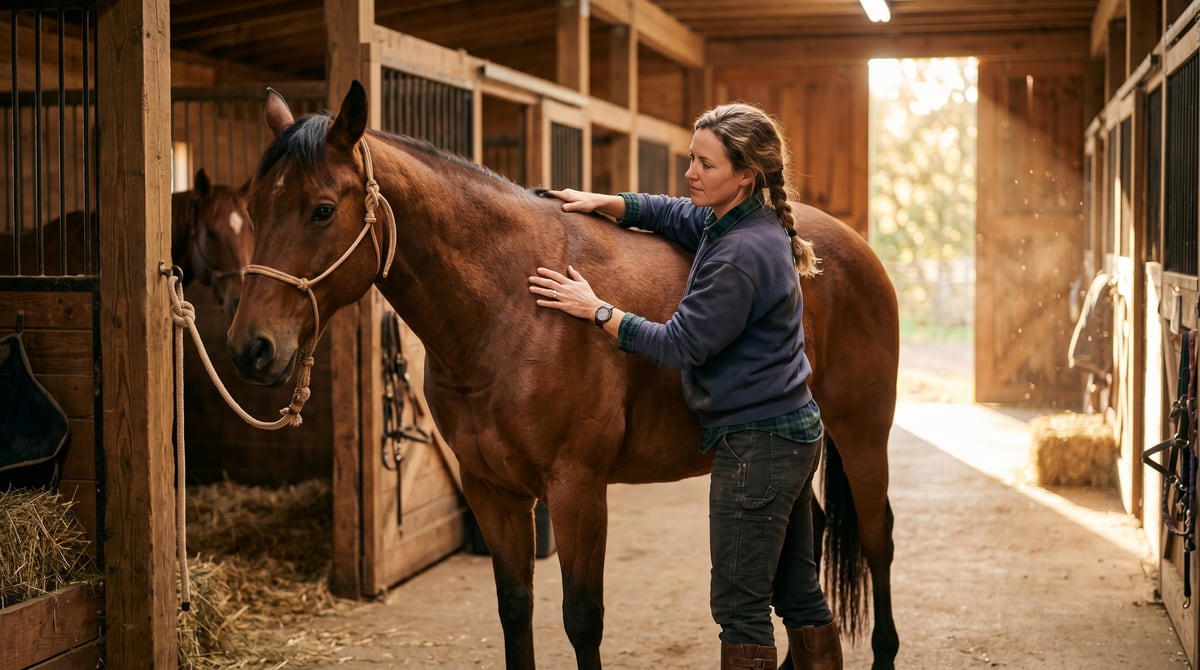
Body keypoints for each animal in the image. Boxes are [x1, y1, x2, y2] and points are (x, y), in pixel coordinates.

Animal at [227, 81, 900, 670]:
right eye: (253, 207)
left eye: (321, 210)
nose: (249, 348)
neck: (508, 305)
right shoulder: (490, 488)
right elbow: (514, 607)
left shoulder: (577, 488)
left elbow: (582, 619)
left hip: (862, 437)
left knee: (877, 539)